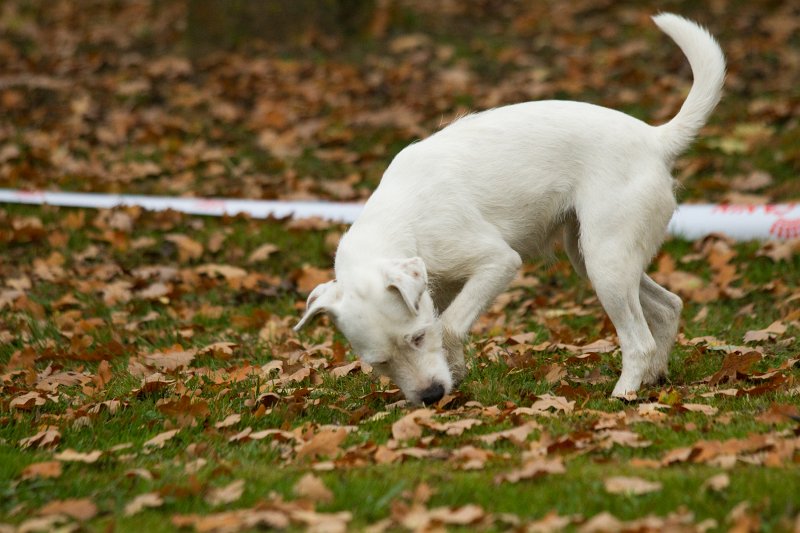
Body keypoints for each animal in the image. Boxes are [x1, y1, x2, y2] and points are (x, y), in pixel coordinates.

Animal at [294, 13, 724, 404]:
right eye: (380, 363)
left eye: (417, 338)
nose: (431, 397)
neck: (404, 221)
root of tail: (655, 139)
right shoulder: (441, 291)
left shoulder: (498, 263)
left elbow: (450, 327)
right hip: (591, 258)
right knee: (668, 307)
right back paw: (656, 379)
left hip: (607, 265)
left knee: (639, 340)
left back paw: (625, 394)